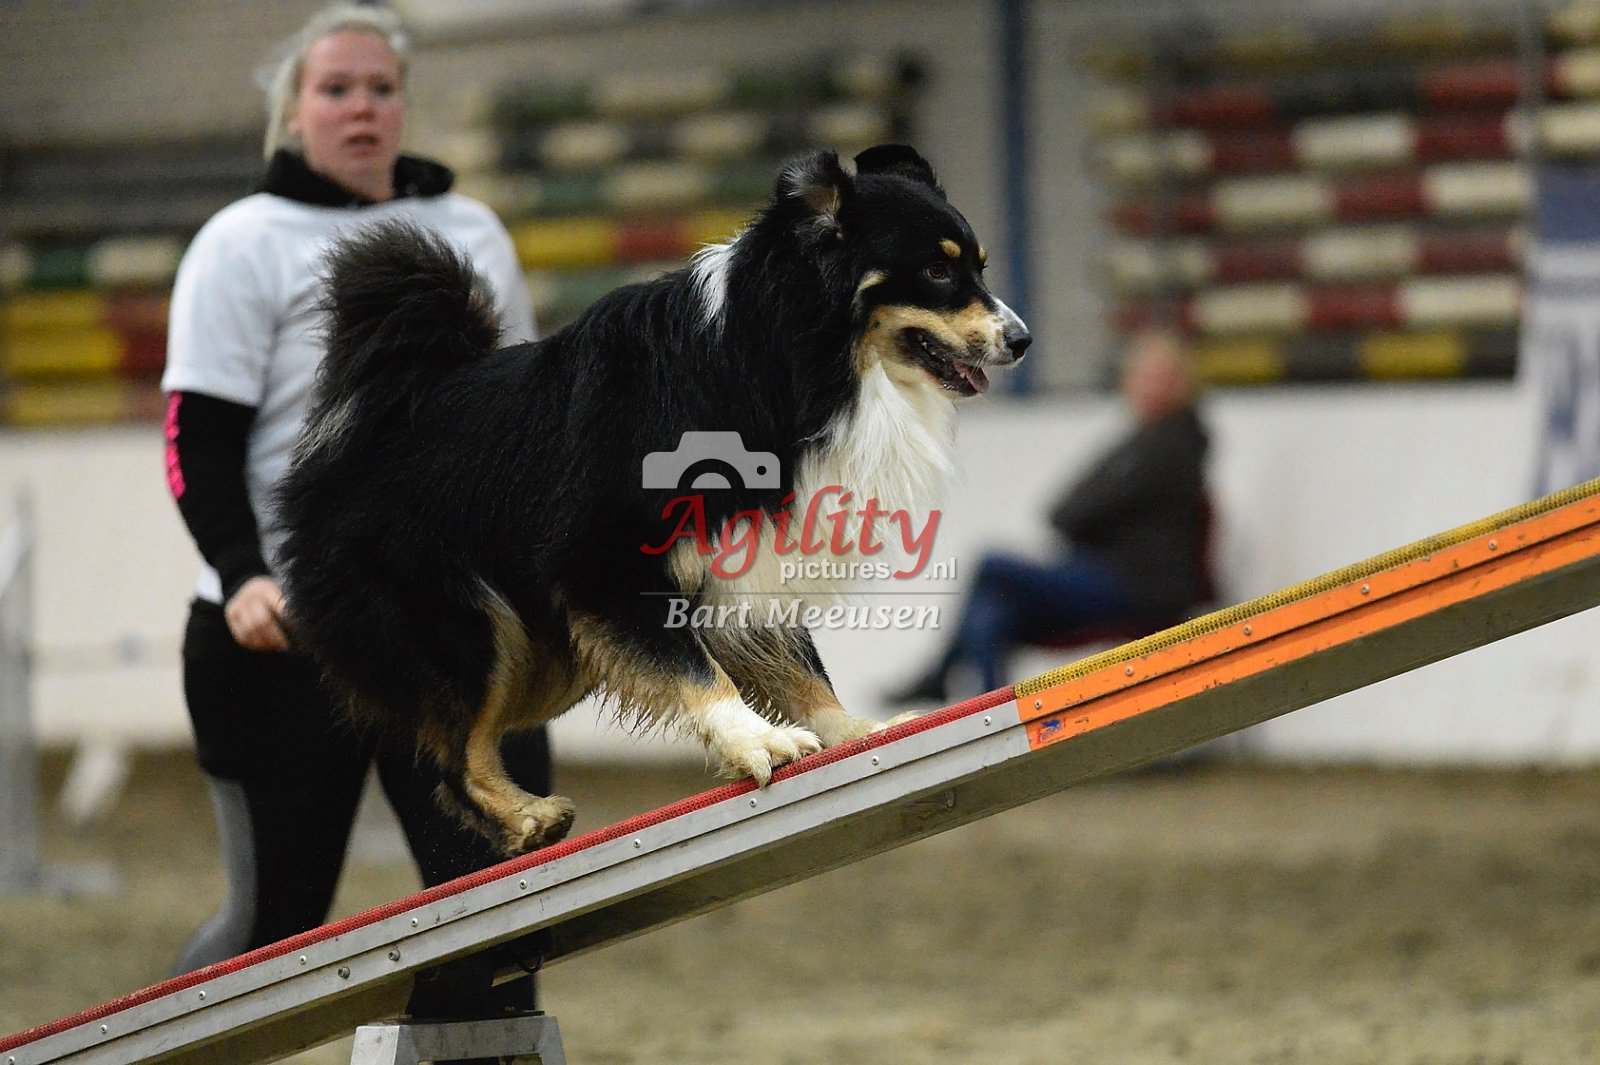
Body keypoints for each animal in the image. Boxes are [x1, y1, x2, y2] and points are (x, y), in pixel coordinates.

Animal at [276, 144, 1030, 856]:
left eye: (980, 267)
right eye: (937, 271)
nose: (1022, 340)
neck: (779, 361)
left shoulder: (746, 560)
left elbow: (799, 667)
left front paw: (858, 731)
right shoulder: (604, 563)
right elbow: (694, 666)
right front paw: (756, 740)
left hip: (543, 656)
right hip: (473, 629)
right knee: (454, 753)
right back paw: (528, 819)